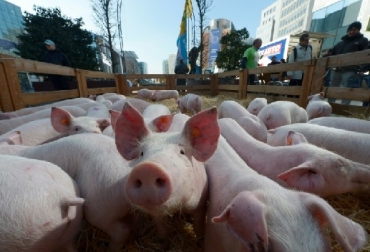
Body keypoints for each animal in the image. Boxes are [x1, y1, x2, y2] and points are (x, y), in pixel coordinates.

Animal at [115, 103, 220, 239]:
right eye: (141, 153)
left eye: (182, 152)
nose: (147, 169)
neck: (177, 207)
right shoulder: (156, 215)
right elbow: (162, 230)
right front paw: (164, 240)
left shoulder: (201, 204)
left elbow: (198, 226)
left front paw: (199, 239)